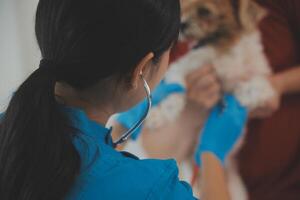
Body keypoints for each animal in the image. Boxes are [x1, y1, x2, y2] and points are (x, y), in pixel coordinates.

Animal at [144, 0, 276, 199]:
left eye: (205, 12)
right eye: (183, 8)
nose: (182, 25)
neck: (223, 50)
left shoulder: (260, 77)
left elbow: (255, 87)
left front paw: (238, 97)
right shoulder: (181, 69)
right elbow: (175, 93)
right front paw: (156, 116)